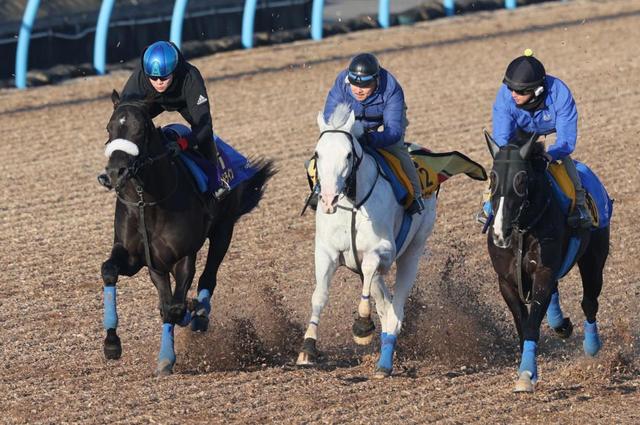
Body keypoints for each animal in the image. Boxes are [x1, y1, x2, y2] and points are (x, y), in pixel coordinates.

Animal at [100, 90, 276, 374]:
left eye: (141, 129)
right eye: (110, 127)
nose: (116, 172)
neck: (148, 200)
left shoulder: (183, 256)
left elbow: (174, 308)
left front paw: (186, 322)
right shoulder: (138, 257)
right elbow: (110, 271)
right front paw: (112, 343)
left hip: (223, 229)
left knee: (208, 277)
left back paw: (200, 313)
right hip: (159, 265)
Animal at [298, 104, 438, 376]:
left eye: (348, 155)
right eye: (318, 154)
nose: (328, 199)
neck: (352, 205)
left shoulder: (382, 252)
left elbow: (372, 267)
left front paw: (362, 326)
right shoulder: (326, 252)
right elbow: (319, 295)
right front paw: (308, 347)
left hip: (413, 251)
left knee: (396, 310)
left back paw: (384, 362)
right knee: (385, 305)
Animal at [484, 131, 608, 392]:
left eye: (521, 179)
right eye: (492, 177)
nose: (499, 233)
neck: (522, 231)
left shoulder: (544, 271)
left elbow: (532, 323)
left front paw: (526, 373)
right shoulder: (506, 281)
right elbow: (522, 323)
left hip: (594, 260)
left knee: (589, 303)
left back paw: (591, 346)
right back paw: (561, 324)